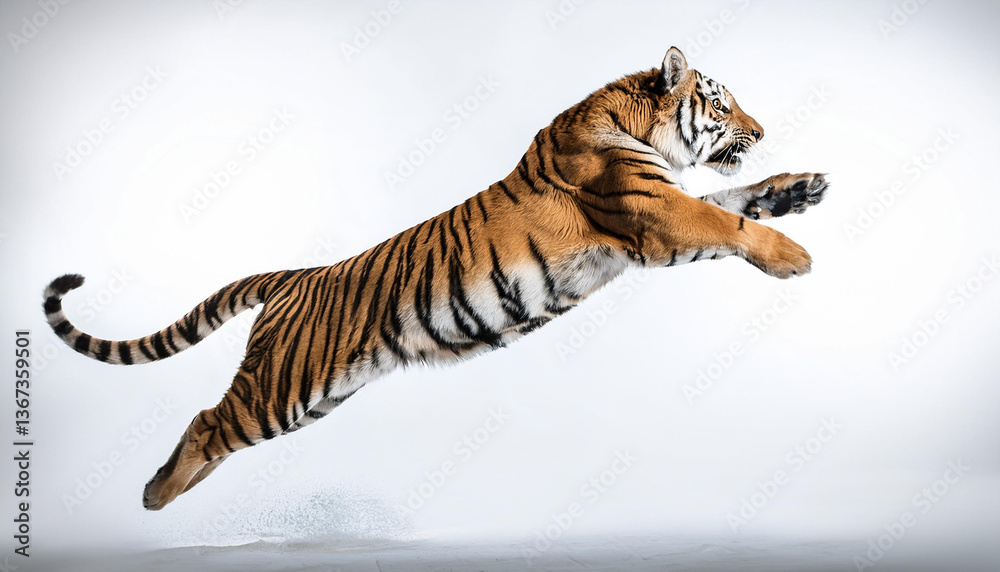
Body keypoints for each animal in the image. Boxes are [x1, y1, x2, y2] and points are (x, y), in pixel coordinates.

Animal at [43, 46, 828, 511]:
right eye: (721, 104)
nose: (761, 131)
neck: (635, 127)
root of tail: (297, 275)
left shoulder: (668, 206)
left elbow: (738, 198)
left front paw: (798, 189)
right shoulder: (657, 214)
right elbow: (729, 222)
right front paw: (793, 256)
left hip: (321, 394)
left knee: (213, 433)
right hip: (285, 388)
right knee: (208, 422)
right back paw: (153, 496)